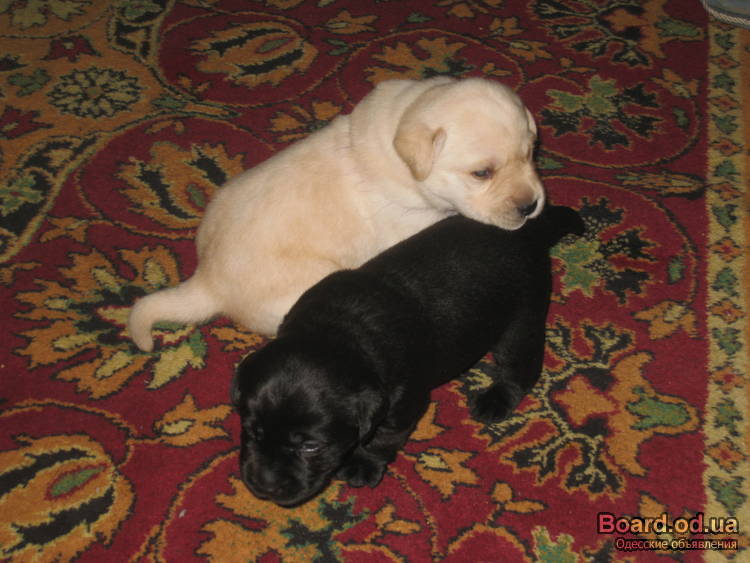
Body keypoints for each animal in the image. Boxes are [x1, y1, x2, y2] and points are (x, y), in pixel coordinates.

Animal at [231, 205, 584, 507]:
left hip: (521, 318)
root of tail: (529, 233)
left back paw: (495, 400)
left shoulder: (403, 404)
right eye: (251, 430)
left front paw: (363, 464)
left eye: (310, 446)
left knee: (520, 367)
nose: (263, 486)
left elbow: (382, 439)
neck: (336, 331)